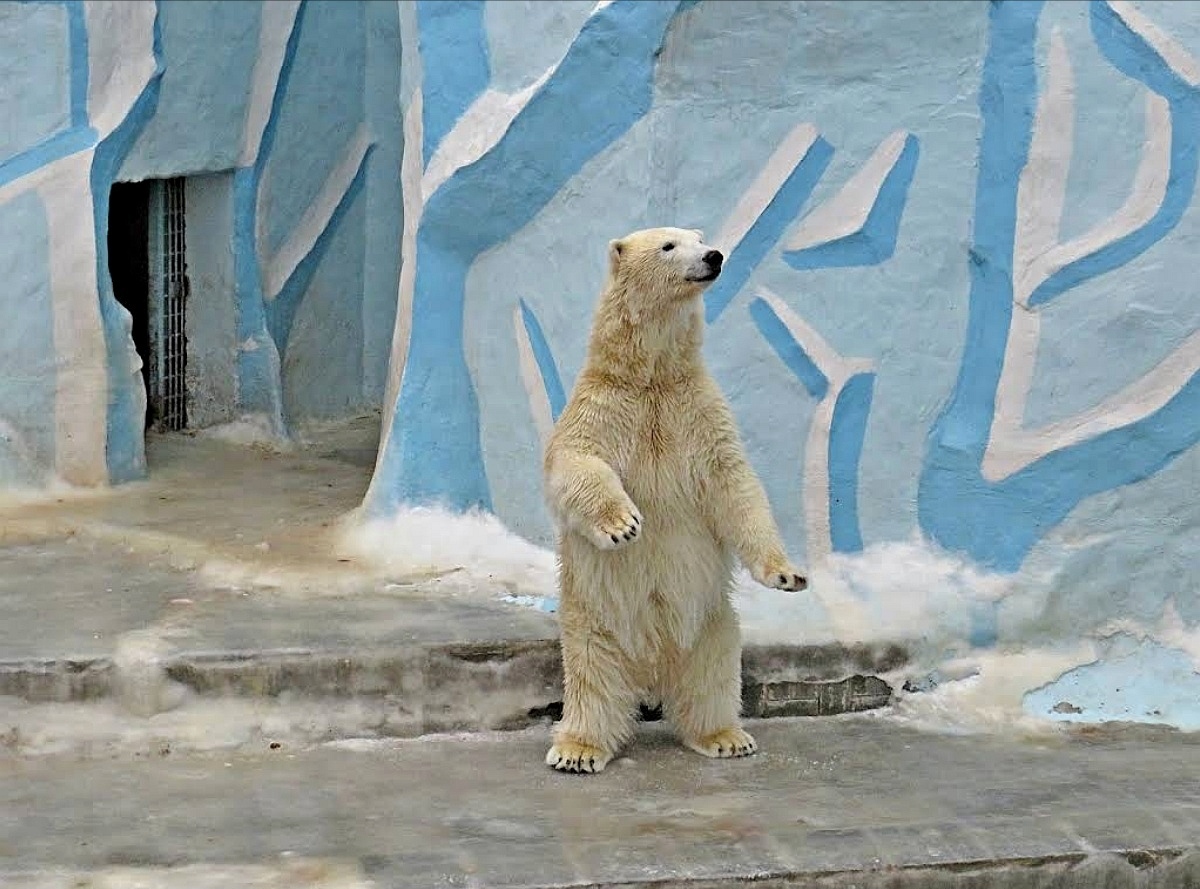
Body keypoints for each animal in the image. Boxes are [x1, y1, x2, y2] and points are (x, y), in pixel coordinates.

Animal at [544, 225, 806, 772]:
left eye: (699, 236)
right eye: (668, 245)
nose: (715, 255)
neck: (652, 376)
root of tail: (651, 669)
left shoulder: (697, 409)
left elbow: (734, 484)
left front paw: (786, 574)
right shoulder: (605, 406)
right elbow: (577, 462)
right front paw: (623, 524)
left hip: (711, 619)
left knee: (714, 671)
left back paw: (726, 736)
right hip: (593, 619)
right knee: (593, 677)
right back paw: (578, 749)